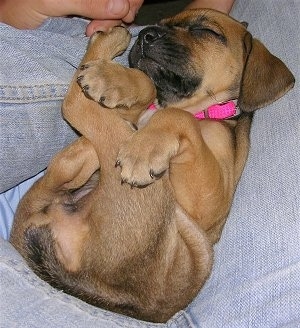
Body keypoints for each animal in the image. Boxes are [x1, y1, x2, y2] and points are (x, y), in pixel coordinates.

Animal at [10, 9, 294, 324]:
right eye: (161, 23)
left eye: (207, 32)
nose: (146, 33)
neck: (207, 111)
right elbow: (150, 92)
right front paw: (116, 80)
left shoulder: (209, 202)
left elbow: (175, 116)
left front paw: (141, 147)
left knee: (75, 110)